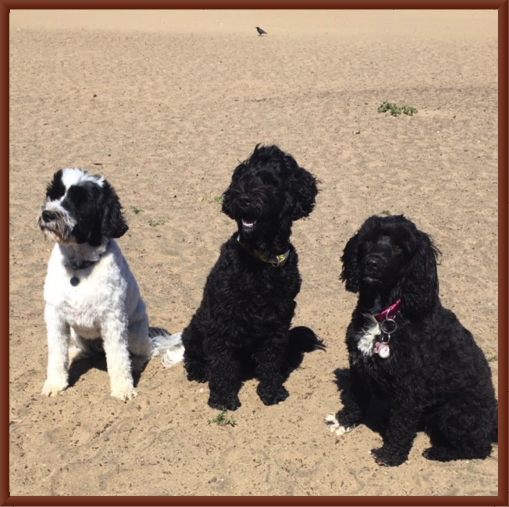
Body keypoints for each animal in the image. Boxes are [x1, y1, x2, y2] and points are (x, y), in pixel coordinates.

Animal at [38, 170, 184, 400]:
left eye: (80, 202)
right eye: (55, 193)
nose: (47, 214)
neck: (79, 268)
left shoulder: (113, 320)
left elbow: (118, 358)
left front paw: (123, 388)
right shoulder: (56, 318)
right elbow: (56, 354)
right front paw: (55, 383)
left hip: (134, 334)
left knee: (146, 351)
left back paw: (136, 363)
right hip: (77, 333)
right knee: (86, 350)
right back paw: (75, 353)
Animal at [181, 145, 320, 410]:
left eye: (270, 182)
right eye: (241, 179)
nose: (242, 198)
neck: (260, 260)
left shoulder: (278, 321)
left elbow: (271, 361)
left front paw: (271, 390)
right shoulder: (221, 321)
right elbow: (221, 364)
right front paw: (223, 398)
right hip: (196, 327)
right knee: (193, 354)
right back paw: (198, 370)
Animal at [326, 216, 496, 466]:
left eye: (400, 246)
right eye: (369, 239)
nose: (372, 263)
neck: (386, 315)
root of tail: (493, 423)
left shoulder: (409, 388)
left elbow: (401, 426)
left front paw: (390, 455)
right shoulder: (358, 367)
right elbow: (356, 399)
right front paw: (344, 421)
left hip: (455, 412)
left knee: (480, 448)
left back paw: (439, 452)